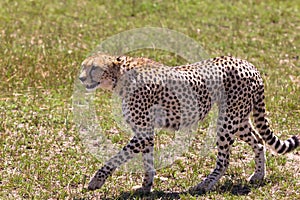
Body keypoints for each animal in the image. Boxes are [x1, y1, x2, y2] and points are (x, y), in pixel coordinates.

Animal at [78, 52, 298, 193]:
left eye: (94, 68)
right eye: (83, 66)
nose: (80, 78)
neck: (121, 75)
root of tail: (248, 64)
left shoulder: (143, 132)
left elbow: (116, 157)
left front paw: (96, 181)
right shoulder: (145, 133)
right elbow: (147, 161)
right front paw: (145, 187)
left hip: (227, 121)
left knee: (225, 159)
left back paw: (205, 185)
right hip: (238, 119)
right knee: (259, 141)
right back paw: (258, 175)